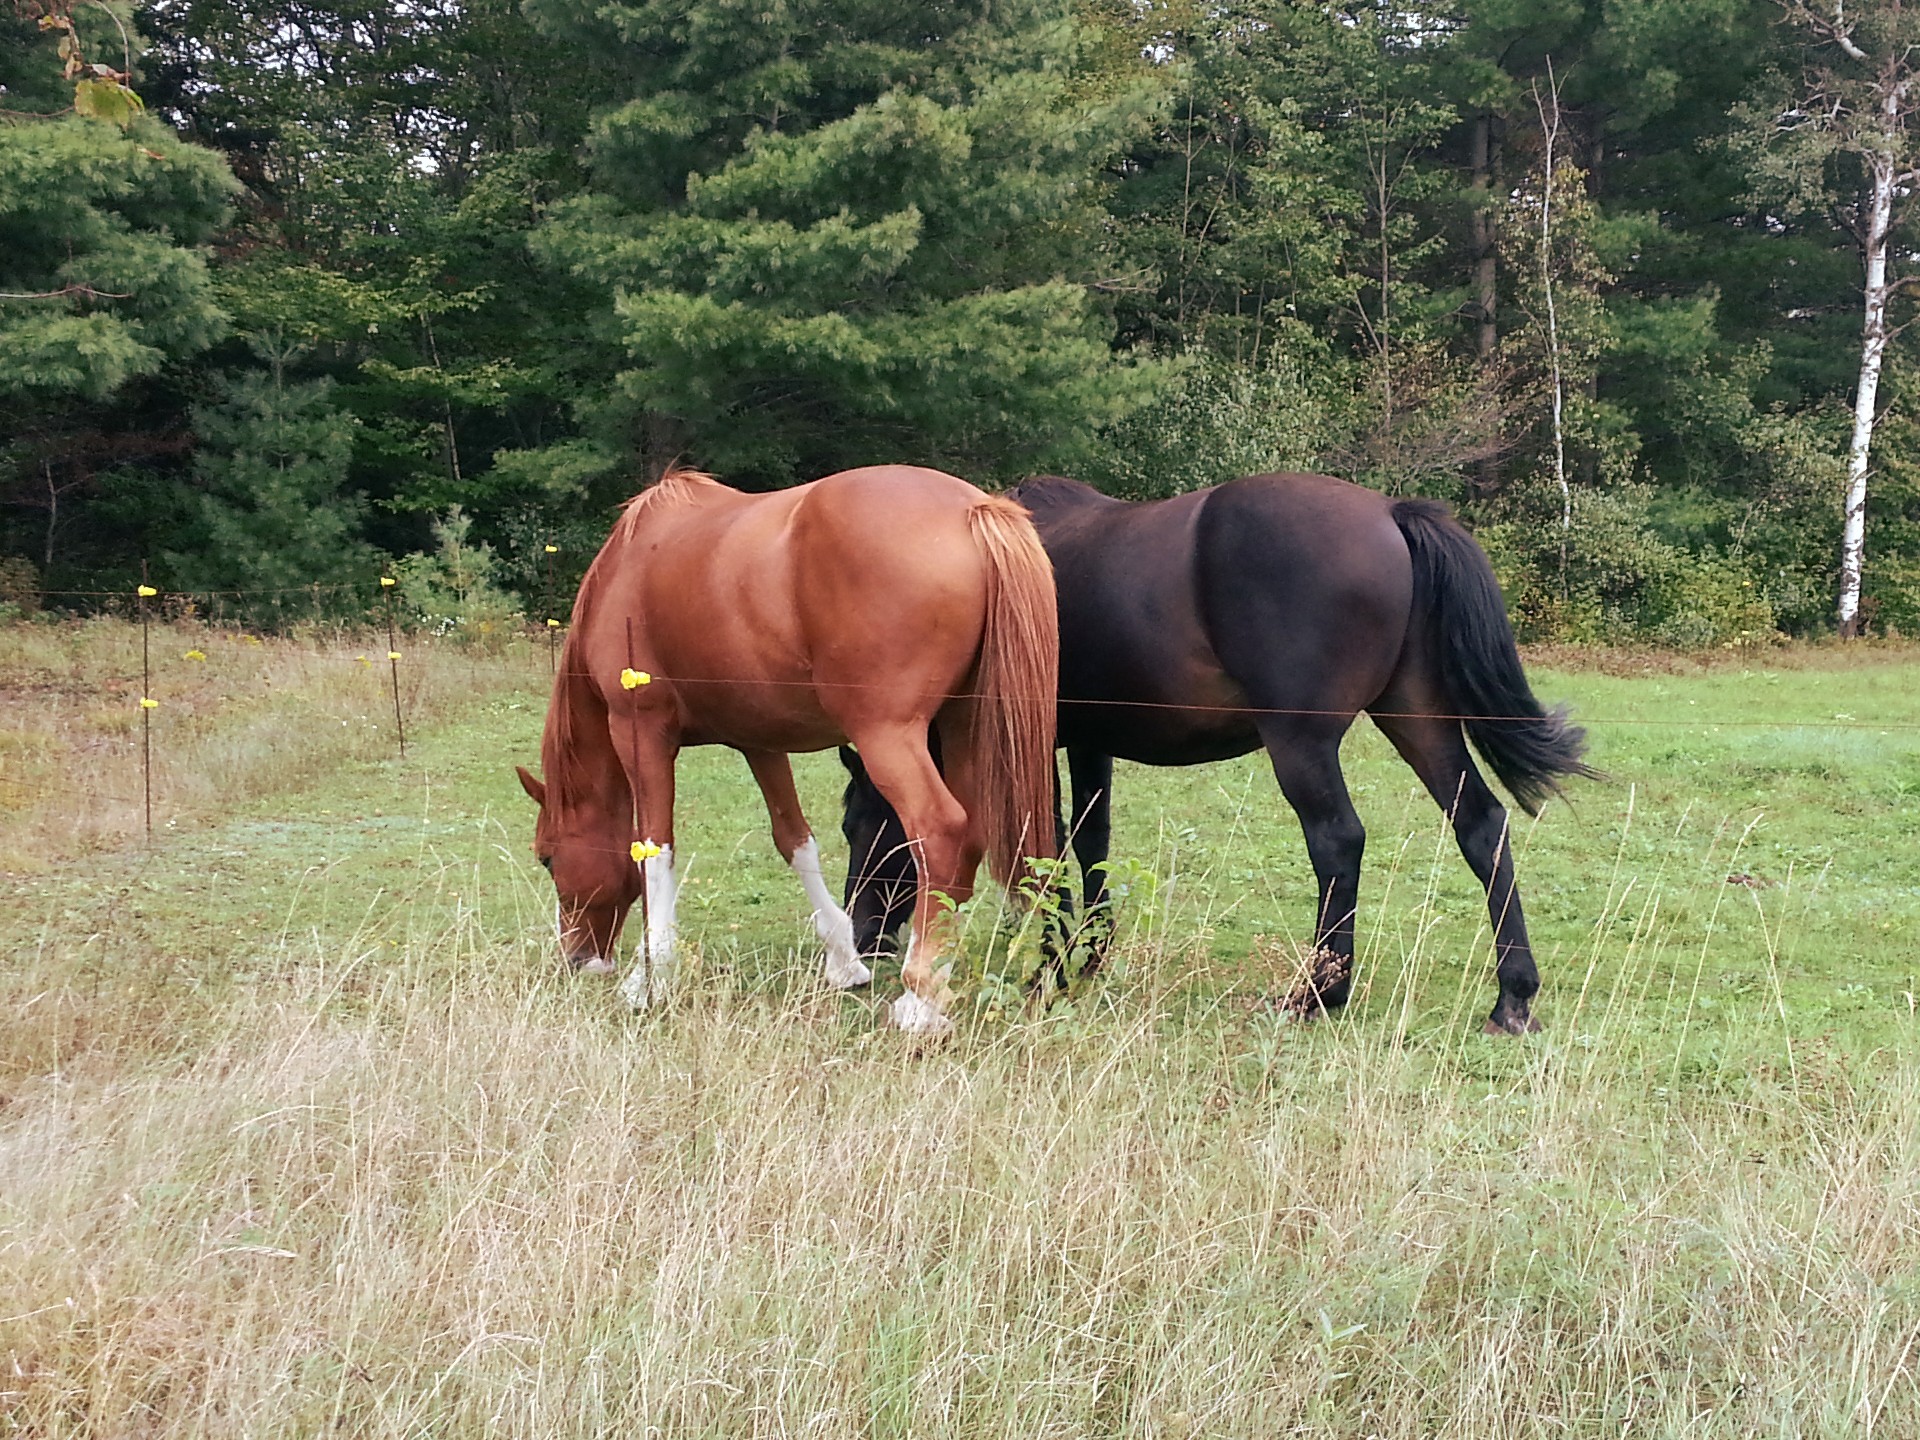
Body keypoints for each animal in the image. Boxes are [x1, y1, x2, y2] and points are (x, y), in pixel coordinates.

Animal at [518, 464, 1059, 1036]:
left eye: (548, 858)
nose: (578, 958)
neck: (629, 565)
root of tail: (974, 510)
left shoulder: (640, 730)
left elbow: (653, 850)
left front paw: (650, 979)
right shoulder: (759, 741)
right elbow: (794, 840)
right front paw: (845, 961)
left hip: (889, 736)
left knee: (942, 833)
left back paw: (920, 1000)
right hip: (964, 727)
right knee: (971, 837)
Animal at [844, 474, 1605, 1036]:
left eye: (857, 825)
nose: (864, 941)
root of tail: (1391, 513)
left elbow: (1046, 845)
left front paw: (1049, 969)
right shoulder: (1091, 741)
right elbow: (1092, 842)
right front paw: (1088, 958)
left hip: (1302, 742)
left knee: (1338, 841)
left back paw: (1316, 995)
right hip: (1419, 719)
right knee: (1480, 826)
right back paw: (1513, 998)